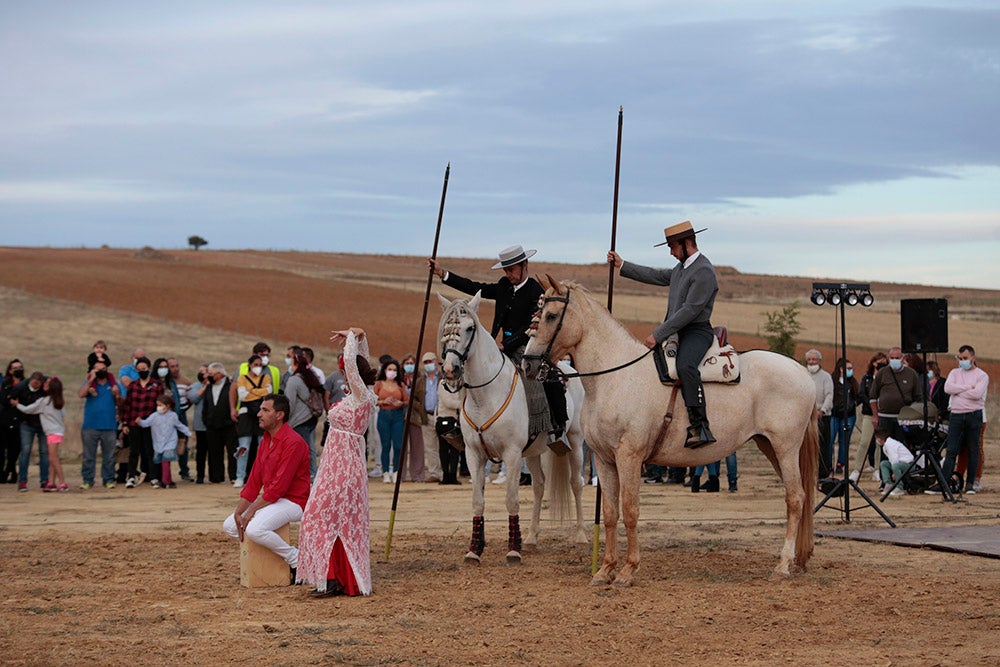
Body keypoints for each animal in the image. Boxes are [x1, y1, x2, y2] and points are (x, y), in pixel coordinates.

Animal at [436, 292, 584, 564]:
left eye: (469, 328)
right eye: (446, 329)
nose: (450, 370)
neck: (485, 395)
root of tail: (569, 369)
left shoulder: (512, 454)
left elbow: (512, 500)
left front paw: (513, 549)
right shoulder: (474, 454)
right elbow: (478, 501)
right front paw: (475, 549)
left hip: (576, 442)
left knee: (576, 483)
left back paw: (580, 535)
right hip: (535, 451)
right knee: (539, 486)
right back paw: (532, 537)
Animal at [520, 276, 816, 584]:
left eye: (551, 316)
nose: (527, 364)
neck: (615, 377)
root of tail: (803, 373)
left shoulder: (629, 457)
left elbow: (630, 510)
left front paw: (628, 569)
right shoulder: (603, 459)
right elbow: (611, 513)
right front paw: (604, 569)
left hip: (785, 448)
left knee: (795, 498)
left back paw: (782, 565)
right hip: (769, 446)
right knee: (799, 497)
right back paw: (797, 559)